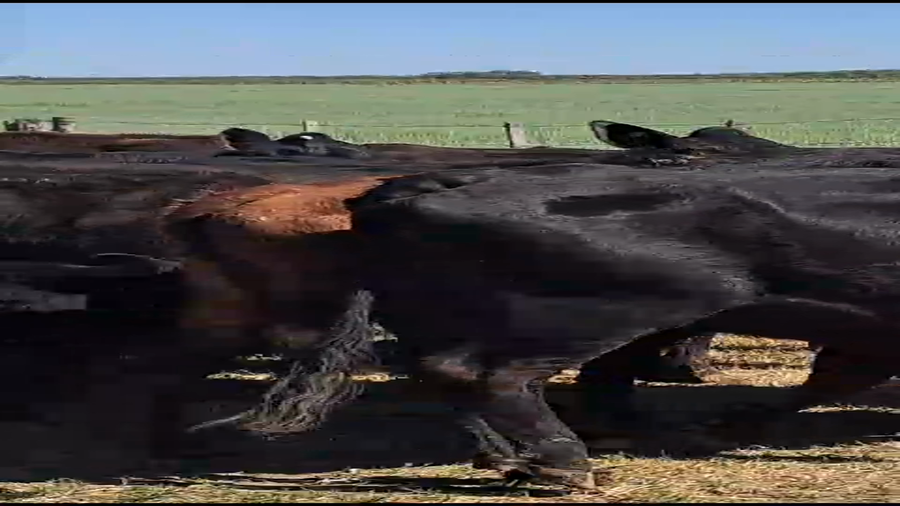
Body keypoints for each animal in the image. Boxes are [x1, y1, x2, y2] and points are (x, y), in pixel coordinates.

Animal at [201, 162, 900, 490]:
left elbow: (830, 379)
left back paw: (517, 459)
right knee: (484, 375)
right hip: (615, 306)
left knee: (443, 373)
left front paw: (730, 424)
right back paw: (565, 464)